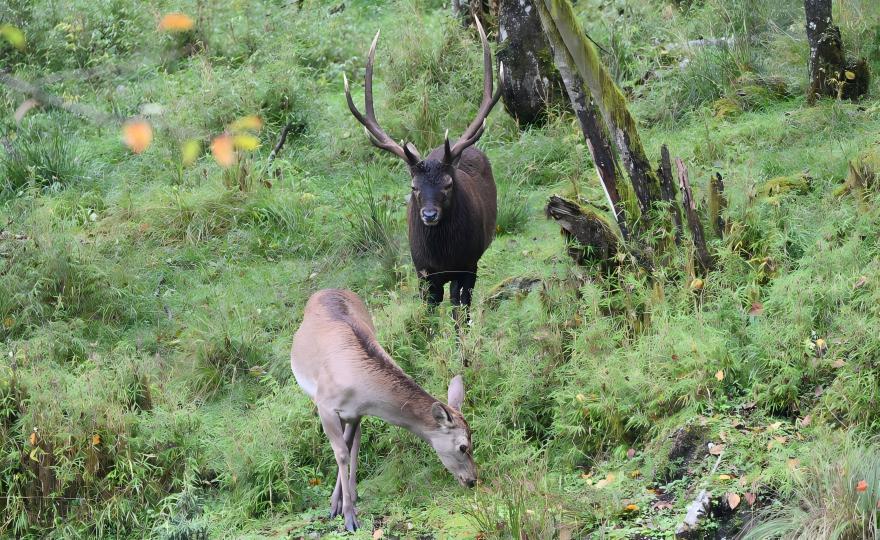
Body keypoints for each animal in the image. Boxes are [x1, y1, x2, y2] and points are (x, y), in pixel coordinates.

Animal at [291, 289, 476, 532]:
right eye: (463, 446)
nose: (473, 480)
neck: (361, 391)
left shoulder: (356, 413)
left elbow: (348, 448)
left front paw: (340, 504)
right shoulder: (325, 405)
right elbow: (341, 453)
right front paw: (346, 516)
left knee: (356, 442)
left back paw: (353, 493)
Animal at [344, 16, 502, 309]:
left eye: (448, 184)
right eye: (414, 187)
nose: (429, 215)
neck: (444, 257)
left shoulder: (468, 265)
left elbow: (462, 310)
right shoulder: (423, 272)